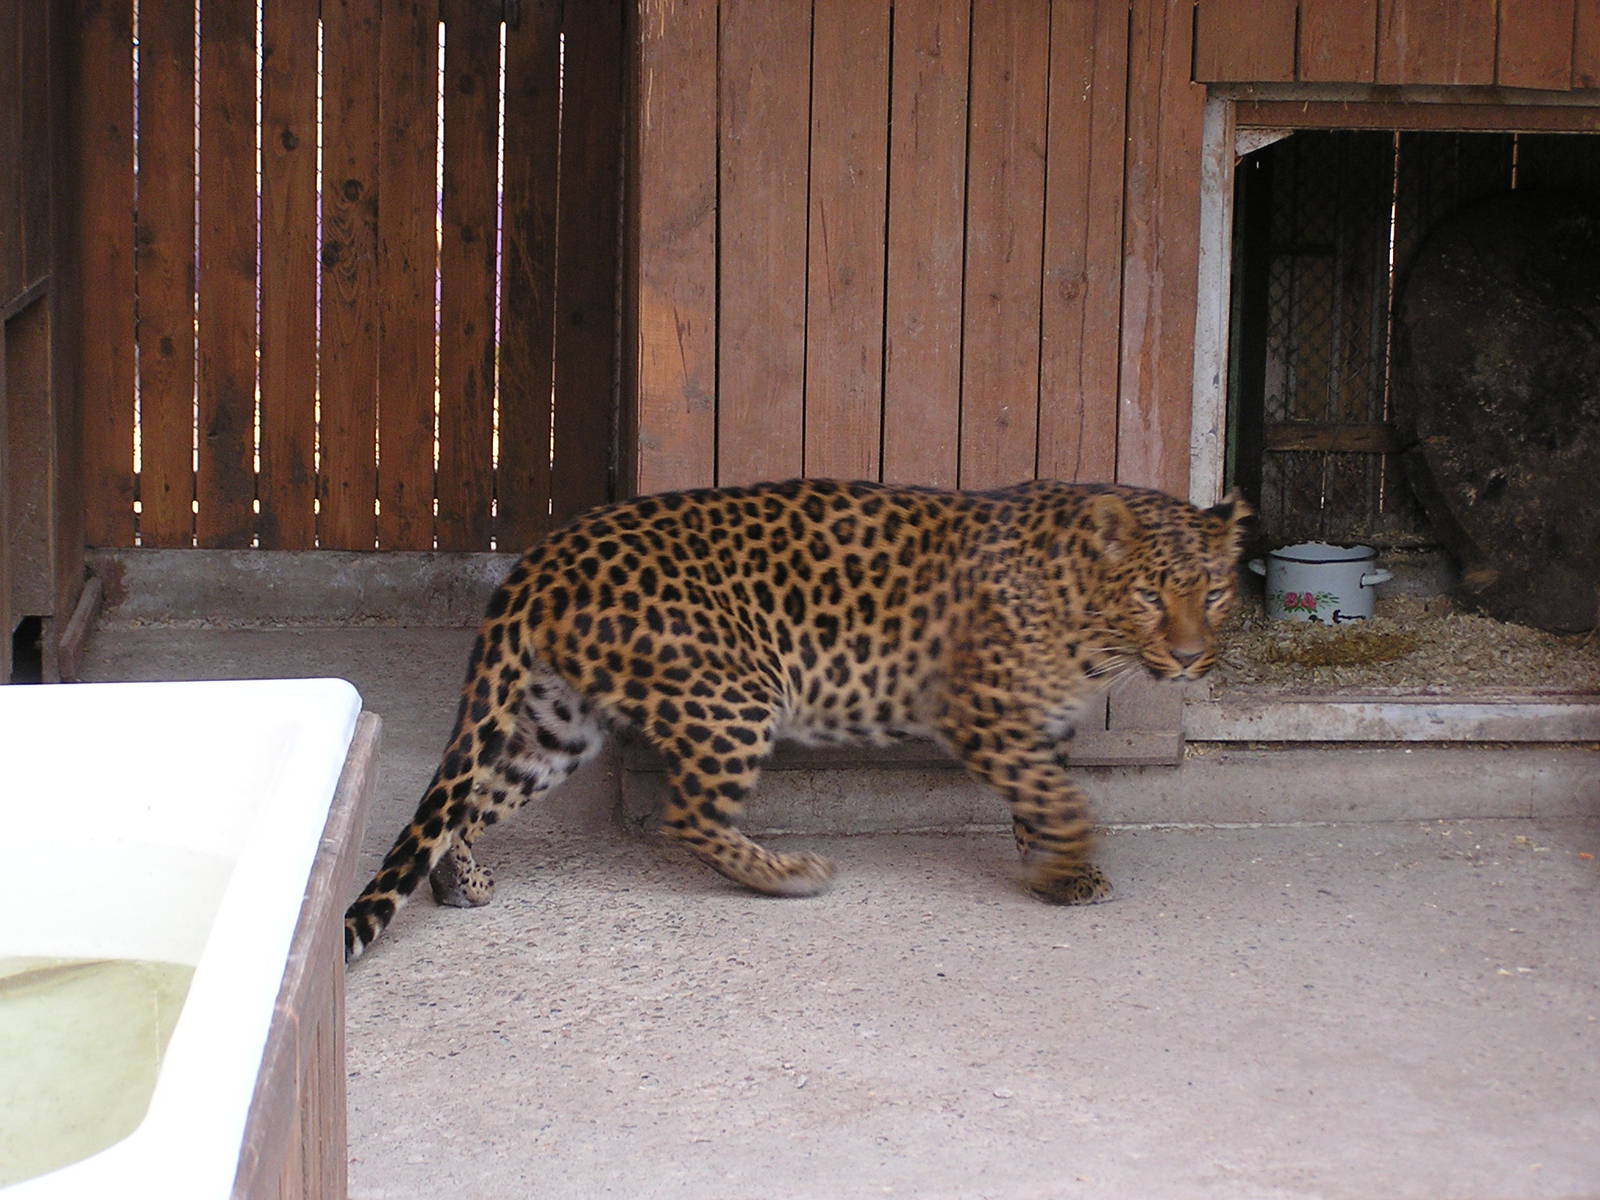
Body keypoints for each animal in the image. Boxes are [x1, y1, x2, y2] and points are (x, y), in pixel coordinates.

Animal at [344, 477, 1249, 962]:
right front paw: (1069, 864)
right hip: (736, 693)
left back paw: (460, 882)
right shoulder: (981, 711)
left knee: (470, 797)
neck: (1085, 615)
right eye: (1149, 594)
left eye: (1212, 592)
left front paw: (1058, 869)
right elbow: (1061, 799)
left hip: (560, 721)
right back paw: (787, 874)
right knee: (688, 817)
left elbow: (1044, 795)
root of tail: (548, 552)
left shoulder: (1034, 723)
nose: (1191, 657)